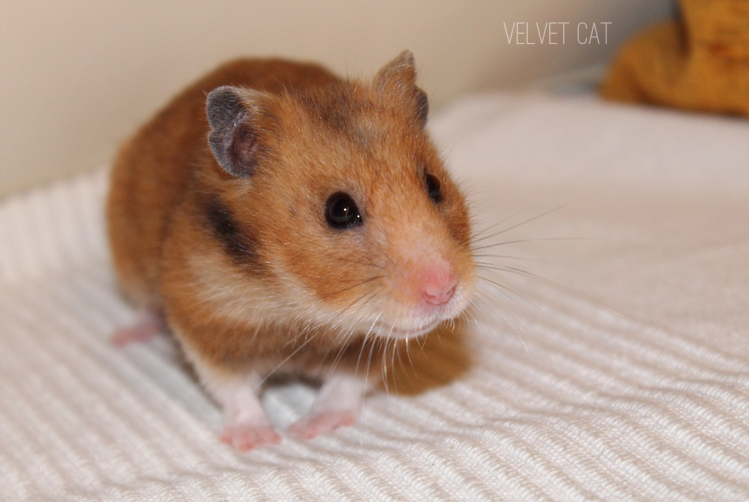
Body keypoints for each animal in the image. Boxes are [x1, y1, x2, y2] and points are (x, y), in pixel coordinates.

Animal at [107, 51, 475, 451]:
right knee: (146, 308)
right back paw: (123, 338)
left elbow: (345, 384)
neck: (302, 304)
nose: (443, 291)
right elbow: (233, 388)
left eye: (434, 185)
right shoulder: (202, 318)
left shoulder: (373, 341)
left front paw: (307, 430)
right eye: (339, 210)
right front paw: (259, 440)